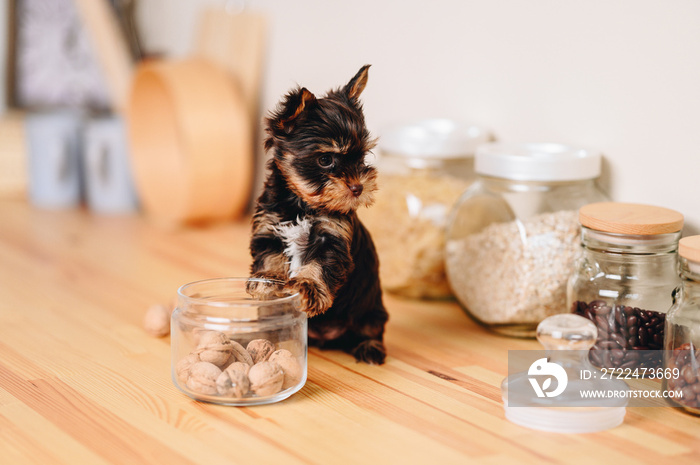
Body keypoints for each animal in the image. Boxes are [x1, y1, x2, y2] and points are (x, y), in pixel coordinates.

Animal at [247, 64, 388, 362]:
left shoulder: (331, 237)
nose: (358, 187)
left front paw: (307, 288)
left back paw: (370, 347)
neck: (301, 203)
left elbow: (318, 266)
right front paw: (266, 283)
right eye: (326, 160)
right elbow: (270, 258)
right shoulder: (269, 229)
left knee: (372, 327)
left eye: (362, 158)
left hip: (370, 308)